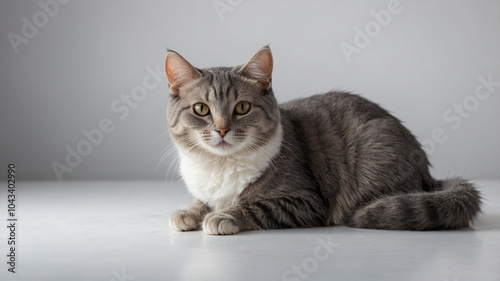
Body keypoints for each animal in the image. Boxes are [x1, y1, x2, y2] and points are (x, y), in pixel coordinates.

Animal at [164, 45, 480, 234]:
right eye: (201, 109)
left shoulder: (303, 200)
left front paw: (223, 216)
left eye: (242, 107)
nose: (221, 129)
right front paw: (189, 212)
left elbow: (253, 206)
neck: (221, 165)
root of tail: (427, 174)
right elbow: (201, 201)